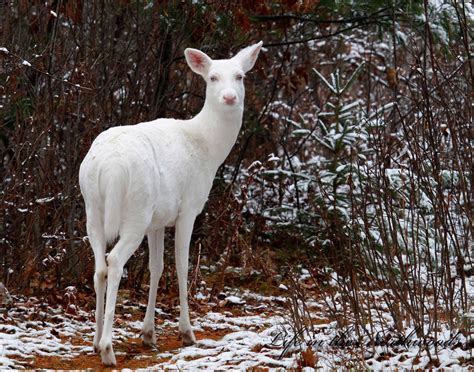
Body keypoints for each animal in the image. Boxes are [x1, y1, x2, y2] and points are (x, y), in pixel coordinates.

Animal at [78, 42, 262, 364]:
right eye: (212, 77)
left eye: (240, 76)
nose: (230, 97)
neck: (208, 148)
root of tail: (108, 167)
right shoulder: (188, 208)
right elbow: (181, 266)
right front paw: (187, 332)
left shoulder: (157, 220)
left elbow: (157, 267)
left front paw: (148, 334)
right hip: (135, 210)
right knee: (114, 261)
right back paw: (108, 349)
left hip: (94, 209)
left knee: (99, 266)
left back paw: (95, 341)